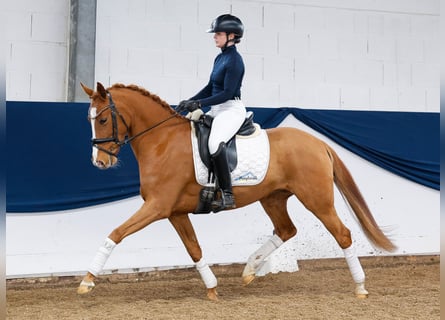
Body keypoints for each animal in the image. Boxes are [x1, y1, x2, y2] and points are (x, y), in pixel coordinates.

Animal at [77, 82, 396, 300]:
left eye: (102, 119)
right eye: (89, 120)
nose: (99, 162)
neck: (161, 140)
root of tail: (318, 143)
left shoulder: (157, 206)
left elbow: (115, 234)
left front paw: (87, 280)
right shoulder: (174, 212)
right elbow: (194, 249)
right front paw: (212, 289)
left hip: (317, 200)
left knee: (342, 234)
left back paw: (360, 287)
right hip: (273, 198)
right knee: (286, 230)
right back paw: (250, 270)